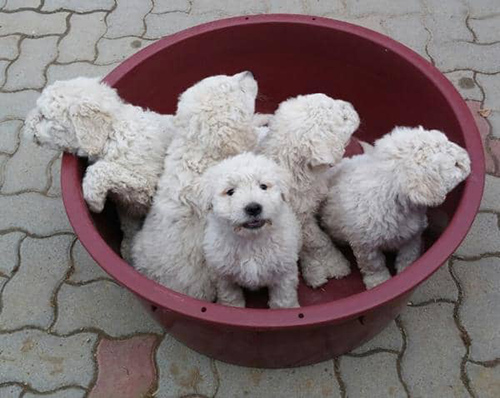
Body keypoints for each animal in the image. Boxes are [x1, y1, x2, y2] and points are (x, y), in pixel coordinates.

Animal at [23, 76, 176, 260]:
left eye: (44, 116)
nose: (25, 124)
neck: (112, 133)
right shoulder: (129, 204)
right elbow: (128, 224)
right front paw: (127, 249)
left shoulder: (147, 186)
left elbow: (101, 169)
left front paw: (94, 202)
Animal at [200, 152, 300, 308]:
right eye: (230, 191)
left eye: (263, 186)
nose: (253, 208)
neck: (251, 240)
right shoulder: (223, 274)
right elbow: (230, 296)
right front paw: (233, 307)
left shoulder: (284, 271)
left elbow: (283, 299)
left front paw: (287, 309)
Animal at [322, 126, 470, 288]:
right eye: (456, 164)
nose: (468, 156)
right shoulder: (366, 245)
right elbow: (374, 266)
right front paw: (379, 282)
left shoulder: (412, 236)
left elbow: (408, 255)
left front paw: (408, 271)